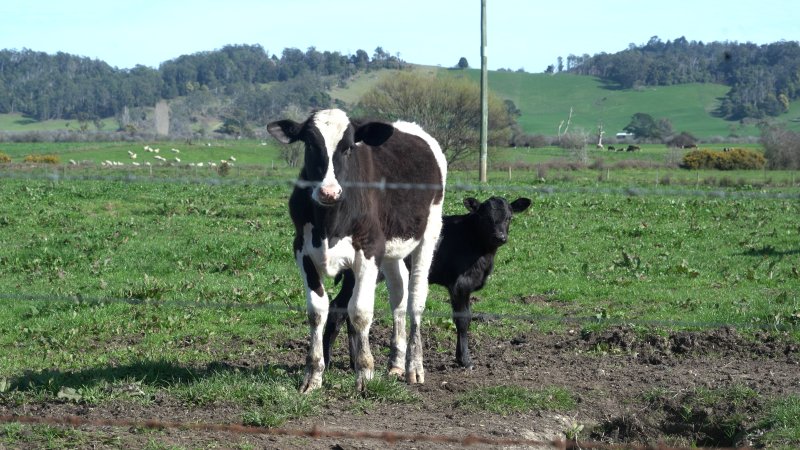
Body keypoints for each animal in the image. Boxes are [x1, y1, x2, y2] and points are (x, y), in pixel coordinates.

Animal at [266, 110, 446, 394]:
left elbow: (360, 312)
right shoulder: (302, 250)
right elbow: (317, 311)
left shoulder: (370, 248)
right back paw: (395, 363)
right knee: (398, 294)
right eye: (310, 144)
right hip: (391, 249)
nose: (329, 191)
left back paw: (414, 367)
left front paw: (364, 373)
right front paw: (313, 376)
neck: (329, 224)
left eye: (349, 147)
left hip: (429, 233)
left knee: (416, 298)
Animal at [322, 195, 536, 370]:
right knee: (337, 310)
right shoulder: (460, 284)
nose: (500, 237)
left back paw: (354, 363)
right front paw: (465, 360)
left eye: (509, 217)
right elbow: (463, 319)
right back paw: (327, 361)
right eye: (485, 218)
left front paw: (460, 356)